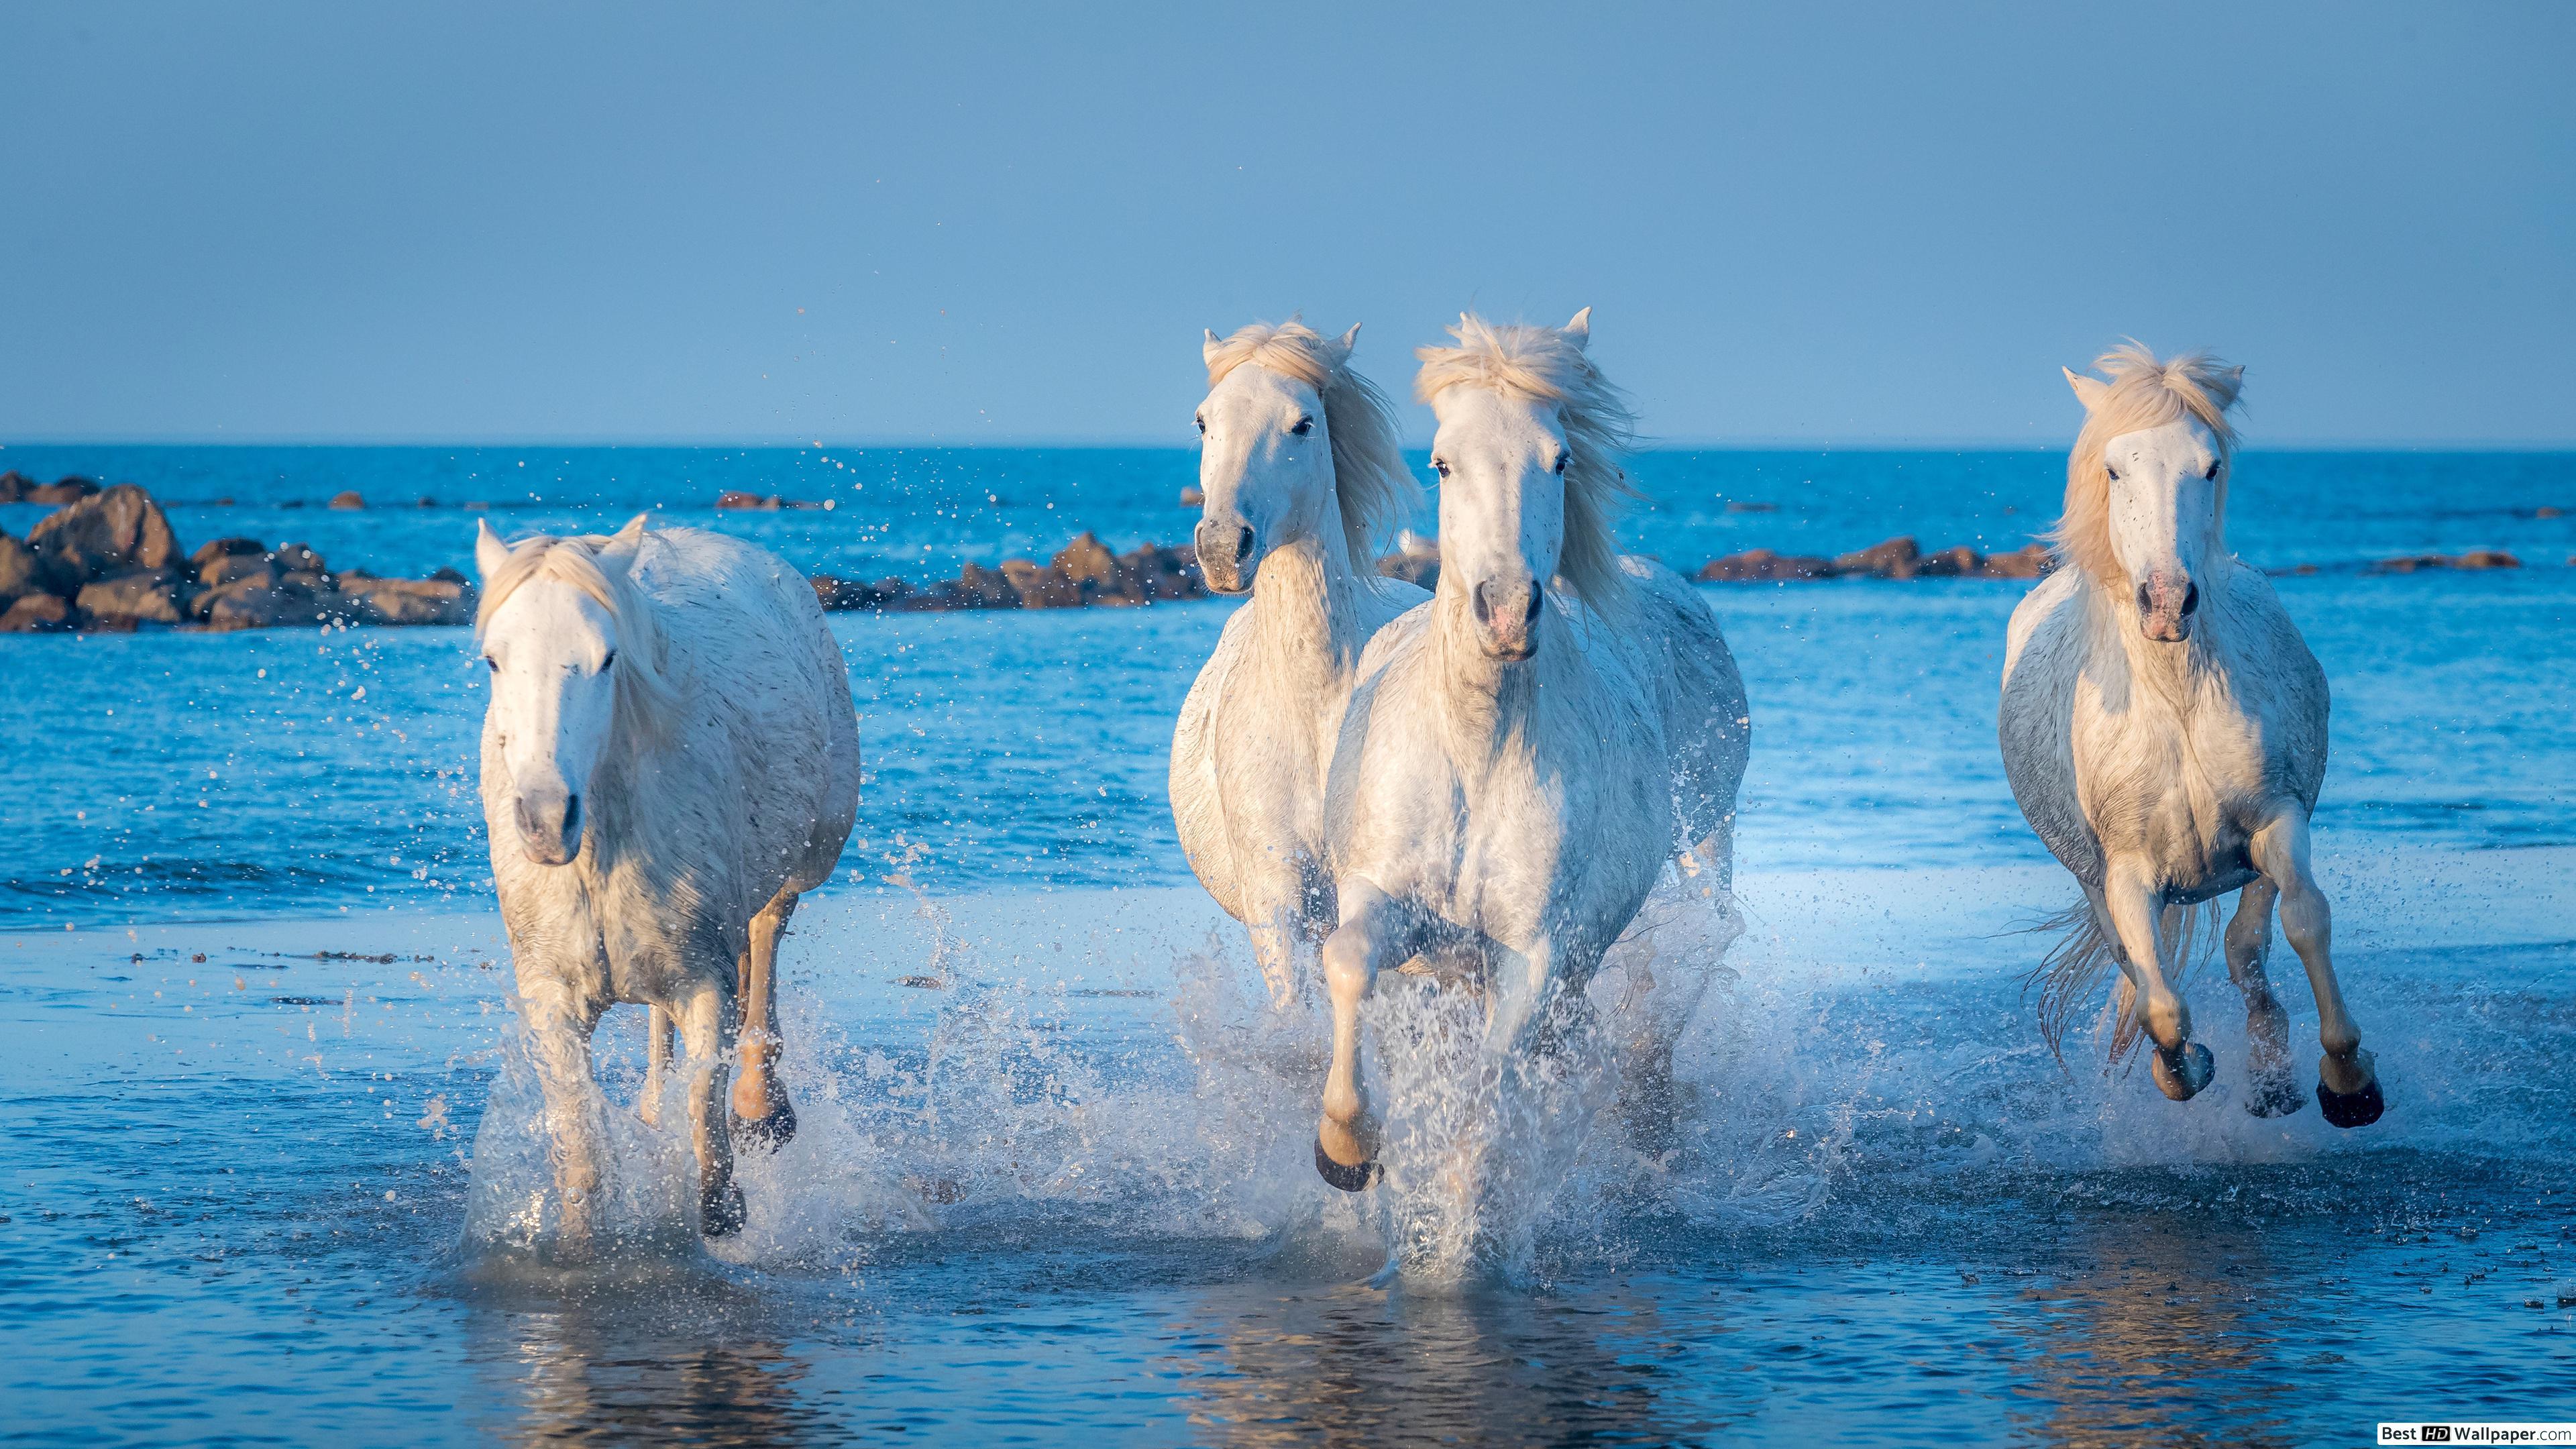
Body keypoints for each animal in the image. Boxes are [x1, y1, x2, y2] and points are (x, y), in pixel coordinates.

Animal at [473, 515, 862, 1253]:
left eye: (607, 658)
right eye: (493, 660)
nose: (545, 819)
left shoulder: (705, 978)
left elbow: (706, 1130)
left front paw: (728, 1200)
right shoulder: (552, 996)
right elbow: (581, 1152)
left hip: (810, 852)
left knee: (767, 935)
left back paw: (762, 1107)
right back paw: (653, 1107)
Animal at [1310, 310, 1750, 1190]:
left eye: (1560, 458)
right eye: (1442, 462)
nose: (1508, 610)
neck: (1477, 755)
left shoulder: (1533, 954)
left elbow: (1490, 1088)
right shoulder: (1388, 900)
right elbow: (1347, 959)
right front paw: (1346, 1146)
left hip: (1704, 847)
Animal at [1999, 344, 2383, 1128]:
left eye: (2209, 467)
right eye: (2115, 469)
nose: (2168, 602)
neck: (2175, 701)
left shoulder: (2277, 820)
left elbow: (2305, 921)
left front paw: (2347, 1081)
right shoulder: (2124, 874)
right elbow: (2162, 1006)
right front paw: (2186, 1069)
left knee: (2246, 948)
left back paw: (2272, 1079)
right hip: (2091, 880)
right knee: (2143, 967)